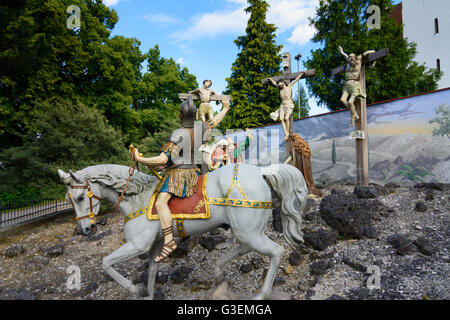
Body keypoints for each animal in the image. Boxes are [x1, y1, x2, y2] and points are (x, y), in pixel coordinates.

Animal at [58, 162, 308, 300]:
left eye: (80, 197)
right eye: (69, 199)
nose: (85, 229)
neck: (137, 197)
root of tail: (260, 172)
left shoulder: (138, 244)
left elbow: (106, 263)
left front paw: (135, 289)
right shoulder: (155, 246)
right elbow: (152, 272)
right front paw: (147, 294)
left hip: (248, 230)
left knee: (275, 252)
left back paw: (261, 294)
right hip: (247, 230)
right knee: (245, 247)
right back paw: (218, 272)